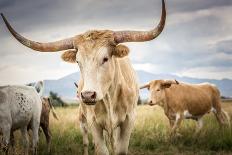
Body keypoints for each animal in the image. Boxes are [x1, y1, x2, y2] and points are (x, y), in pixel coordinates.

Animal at [0, 0, 166, 154]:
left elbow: (120, 149)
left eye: (105, 58)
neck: (109, 98)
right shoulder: (93, 123)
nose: (87, 95)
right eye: (78, 61)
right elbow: (102, 149)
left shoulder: (128, 121)